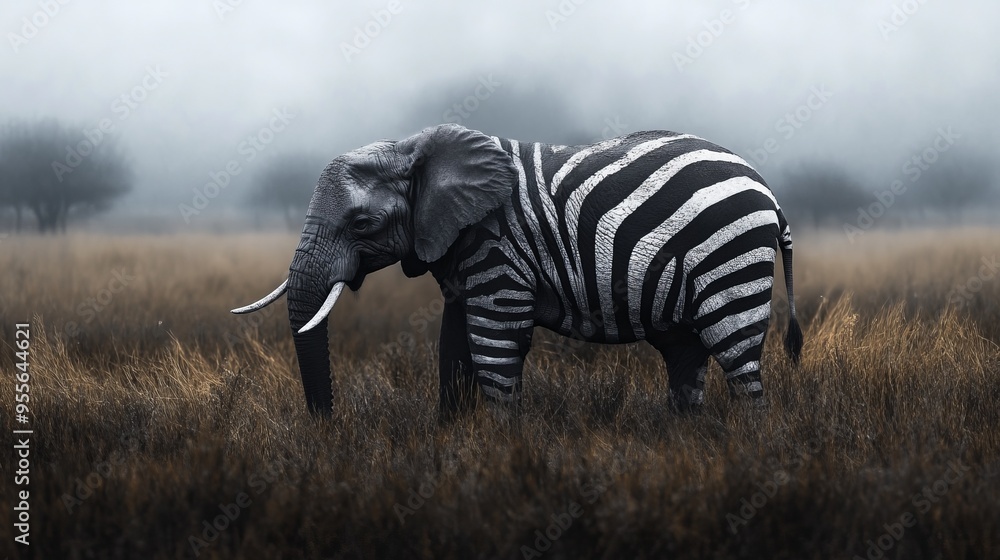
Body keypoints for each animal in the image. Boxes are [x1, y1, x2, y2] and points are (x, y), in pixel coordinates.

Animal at [233, 123, 803, 418]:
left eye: (362, 223)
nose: (328, 430)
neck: (411, 145)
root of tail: (772, 196)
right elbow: (453, 348)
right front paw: (450, 446)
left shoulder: (498, 246)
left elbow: (495, 342)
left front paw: (503, 451)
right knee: (686, 357)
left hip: (729, 251)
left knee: (736, 354)